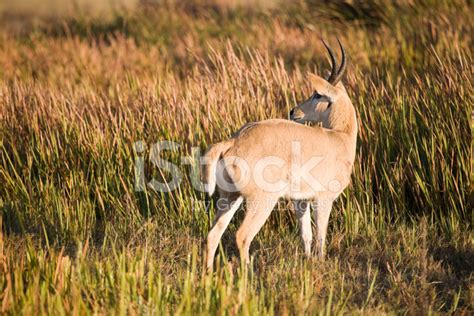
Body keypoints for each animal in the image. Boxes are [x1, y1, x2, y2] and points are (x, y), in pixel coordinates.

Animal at [201, 39, 356, 270]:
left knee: (213, 234)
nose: (294, 111)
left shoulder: (301, 201)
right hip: (262, 200)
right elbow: (320, 235)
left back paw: (209, 272)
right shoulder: (323, 198)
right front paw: (320, 262)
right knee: (242, 235)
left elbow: (306, 235)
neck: (340, 137)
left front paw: (308, 262)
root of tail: (234, 140)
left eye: (317, 94)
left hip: (230, 197)